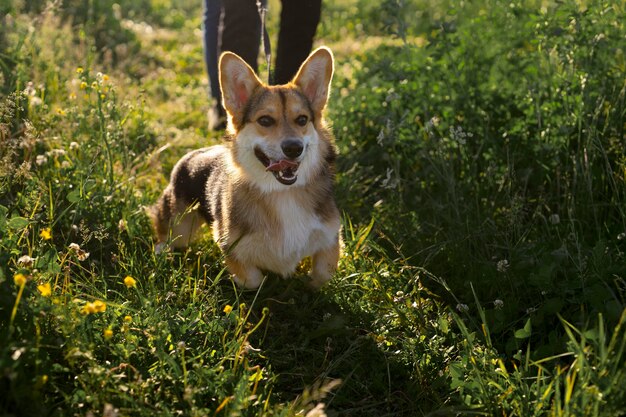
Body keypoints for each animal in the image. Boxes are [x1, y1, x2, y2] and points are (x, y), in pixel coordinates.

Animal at [148, 47, 338, 288]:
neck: (281, 193)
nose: (294, 148)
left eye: (302, 120)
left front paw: (310, 284)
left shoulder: (330, 235)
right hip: (180, 226)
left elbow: (324, 273)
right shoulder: (232, 246)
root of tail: (194, 154)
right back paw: (161, 251)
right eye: (265, 120)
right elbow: (253, 280)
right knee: (167, 234)